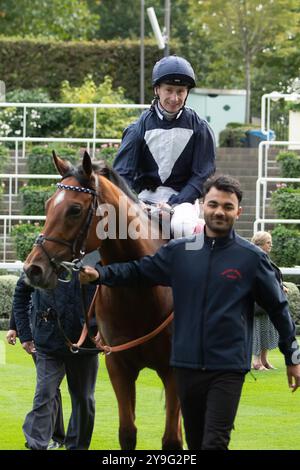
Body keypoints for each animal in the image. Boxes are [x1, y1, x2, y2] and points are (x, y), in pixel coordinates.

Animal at [23, 151, 182, 452]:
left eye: (74, 209)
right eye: (48, 204)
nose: (33, 269)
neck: (141, 289)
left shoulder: (173, 370)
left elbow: (171, 440)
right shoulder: (118, 365)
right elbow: (127, 433)